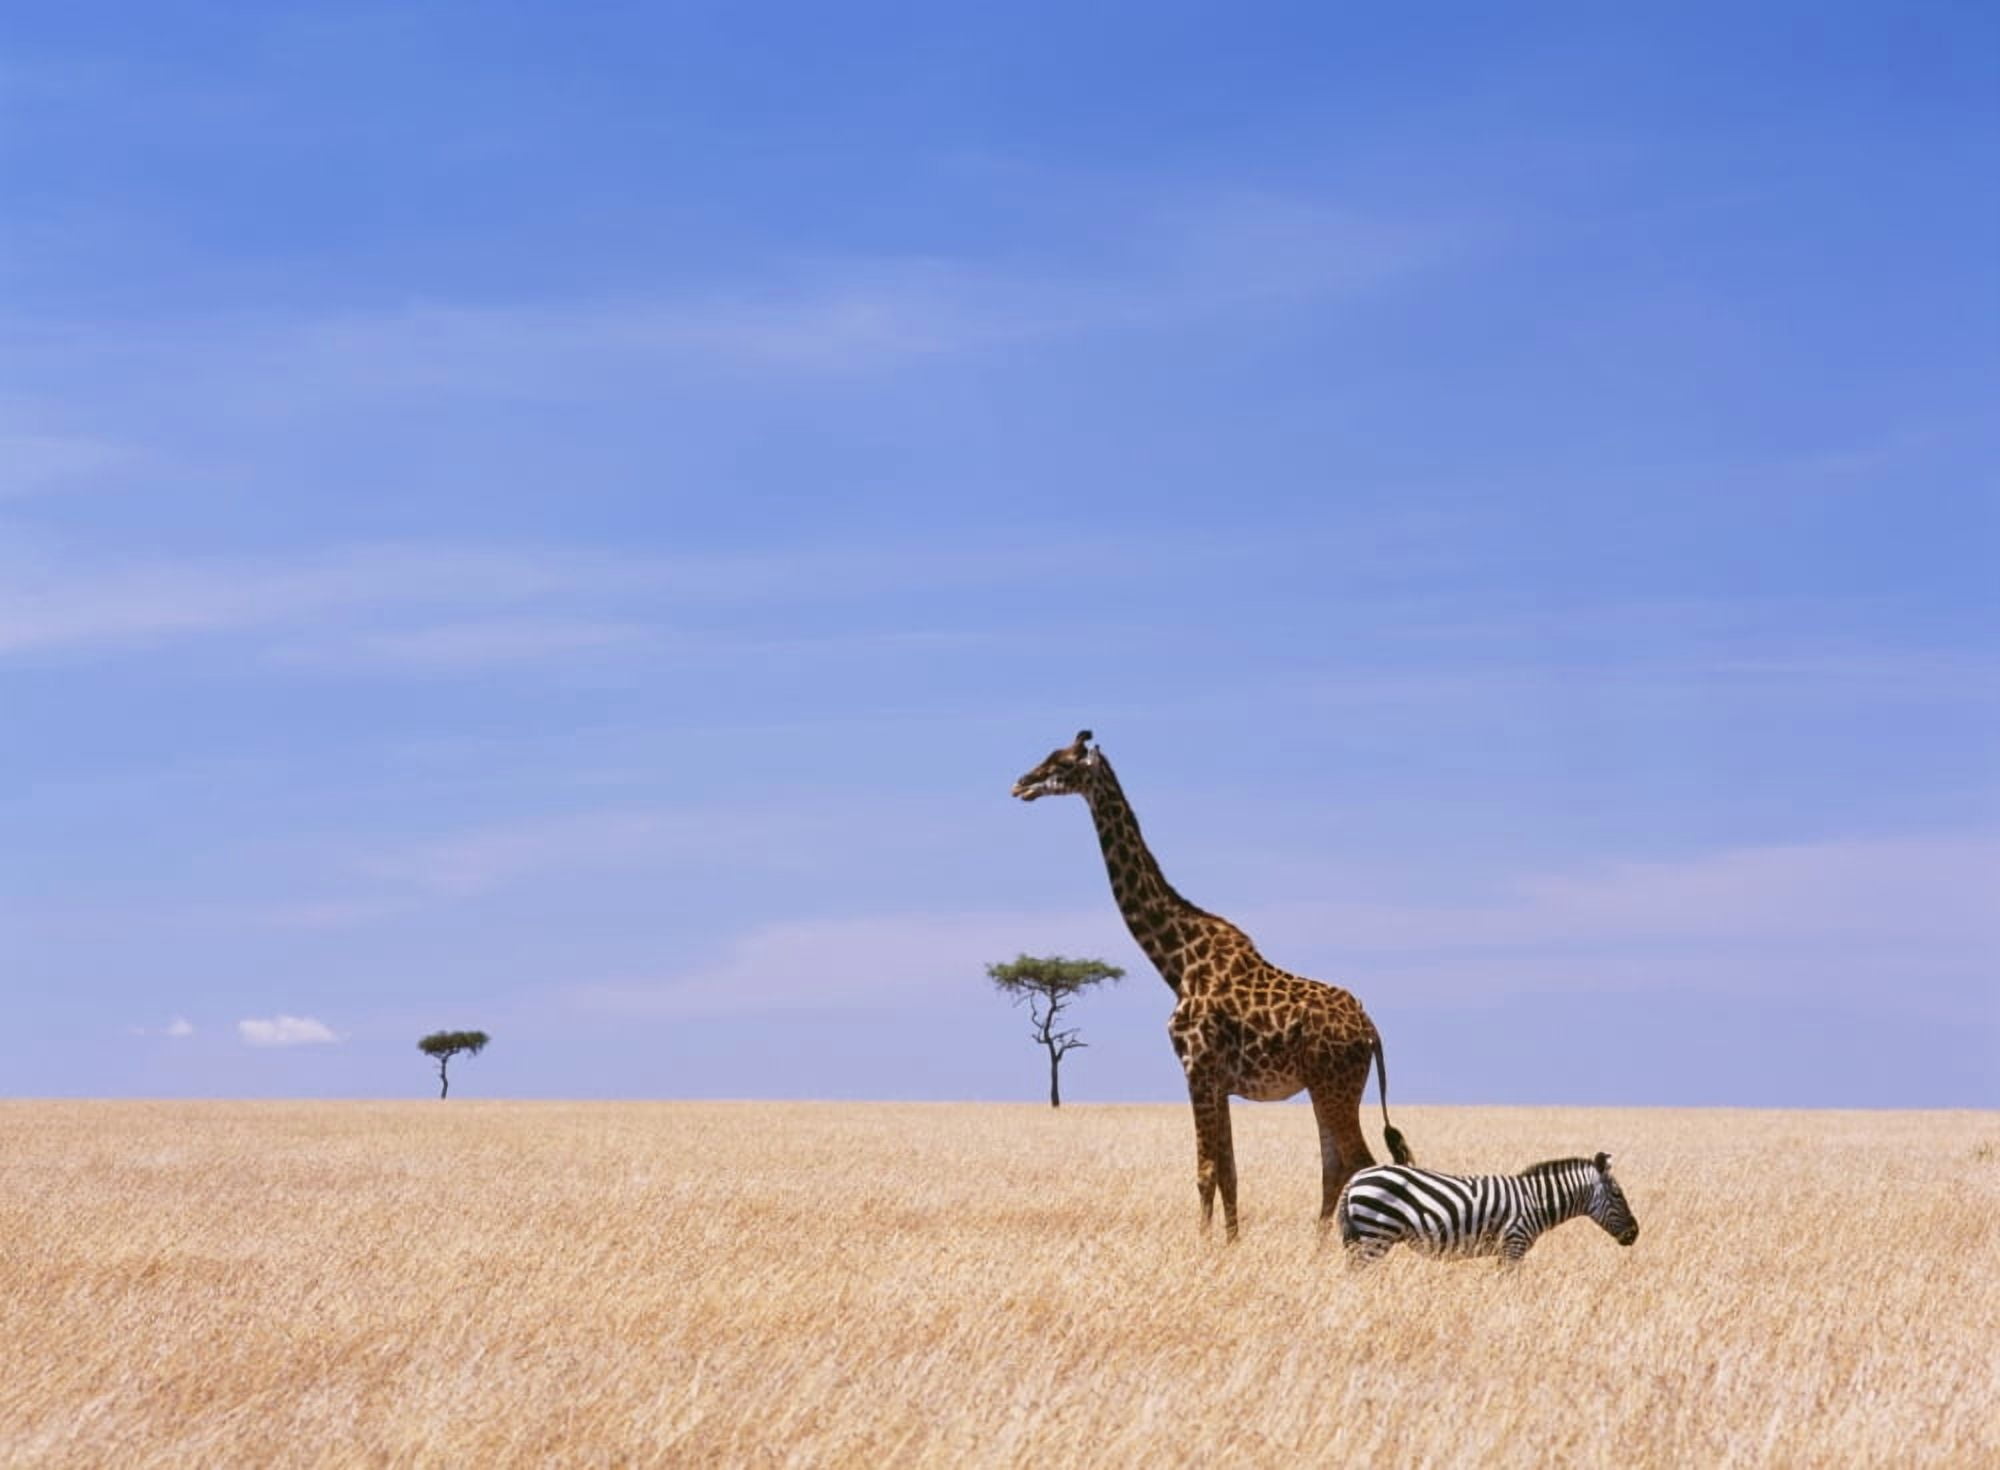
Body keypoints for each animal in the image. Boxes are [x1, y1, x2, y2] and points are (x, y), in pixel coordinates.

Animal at [1012, 730, 1413, 1240]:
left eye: (1061, 761)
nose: (1021, 784)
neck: (1178, 960)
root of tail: (1371, 1029)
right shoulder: (1218, 1080)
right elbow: (1229, 1172)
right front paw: (1229, 1244)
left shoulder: (1196, 1066)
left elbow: (1205, 1170)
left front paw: (1201, 1246)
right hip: (1327, 1085)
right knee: (1335, 1165)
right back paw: (1318, 1247)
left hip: (1334, 1084)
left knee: (1358, 1161)